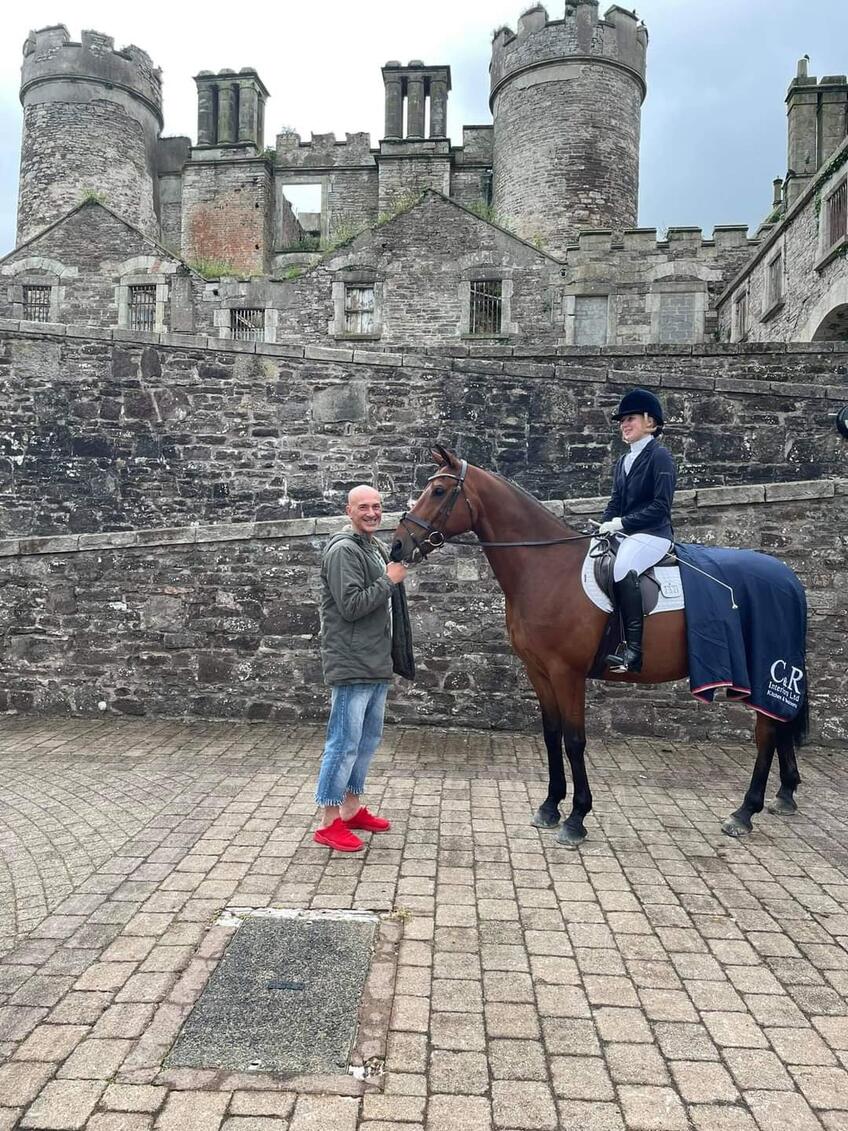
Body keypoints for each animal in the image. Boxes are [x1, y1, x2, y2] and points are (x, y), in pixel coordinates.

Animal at [391, 445, 809, 845]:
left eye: (438, 491)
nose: (397, 546)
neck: (546, 566)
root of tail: (788, 578)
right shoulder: (538, 670)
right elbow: (551, 734)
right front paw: (550, 806)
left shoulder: (567, 672)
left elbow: (574, 740)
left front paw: (576, 818)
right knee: (778, 728)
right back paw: (782, 795)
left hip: (764, 670)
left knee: (767, 732)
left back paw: (745, 812)